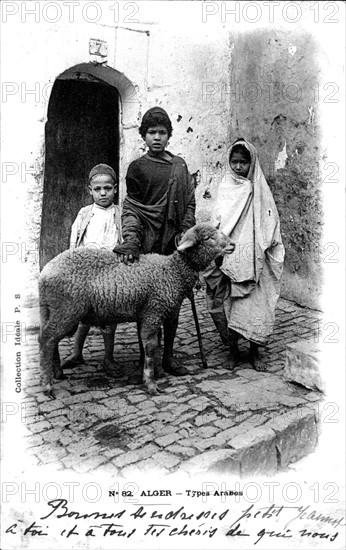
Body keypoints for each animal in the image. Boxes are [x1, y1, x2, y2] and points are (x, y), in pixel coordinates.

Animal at [39, 222, 232, 398]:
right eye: (207, 238)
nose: (232, 244)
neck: (173, 270)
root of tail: (45, 272)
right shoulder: (153, 312)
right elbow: (150, 346)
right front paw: (151, 383)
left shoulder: (149, 313)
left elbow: (153, 343)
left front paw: (154, 374)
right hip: (66, 309)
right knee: (46, 339)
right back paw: (48, 385)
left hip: (50, 310)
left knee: (49, 339)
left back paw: (56, 373)